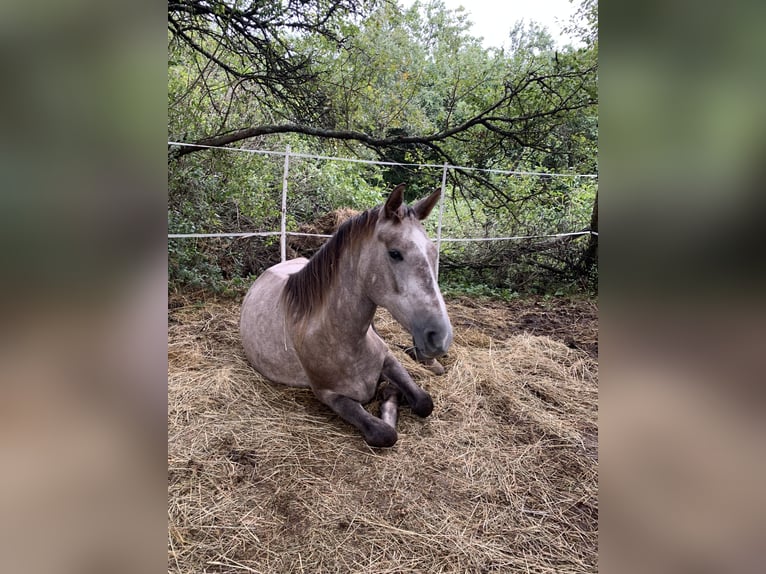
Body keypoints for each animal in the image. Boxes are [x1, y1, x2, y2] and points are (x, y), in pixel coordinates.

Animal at [239, 184, 453, 447]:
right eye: (395, 253)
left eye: (434, 253)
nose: (440, 336)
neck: (342, 338)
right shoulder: (329, 395)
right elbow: (384, 433)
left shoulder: (388, 359)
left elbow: (424, 402)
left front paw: (390, 392)